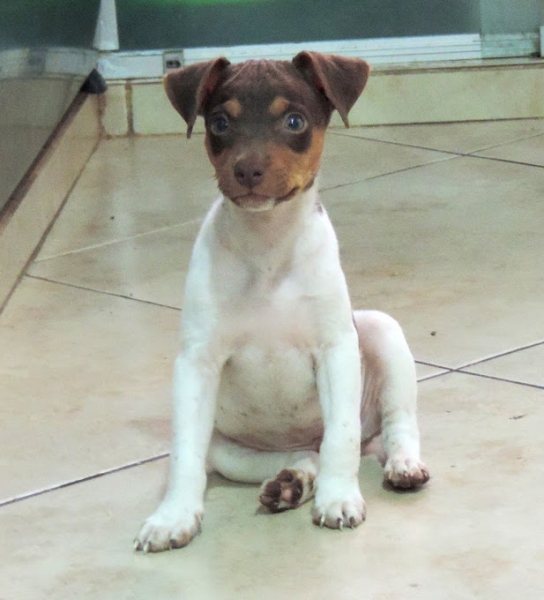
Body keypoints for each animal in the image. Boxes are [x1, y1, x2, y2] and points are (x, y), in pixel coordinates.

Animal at [134, 52, 428, 552]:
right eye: (220, 123)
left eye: (295, 121)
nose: (248, 170)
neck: (267, 248)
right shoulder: (197, 364)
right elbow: (184, 456)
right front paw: (173, 517)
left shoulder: (335, 351)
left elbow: (341, 438)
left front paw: (339, 499)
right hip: (230, 450)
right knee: (305, 453)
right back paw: (292, 482)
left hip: (381, 333)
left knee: (393, 425)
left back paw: (402, 466)